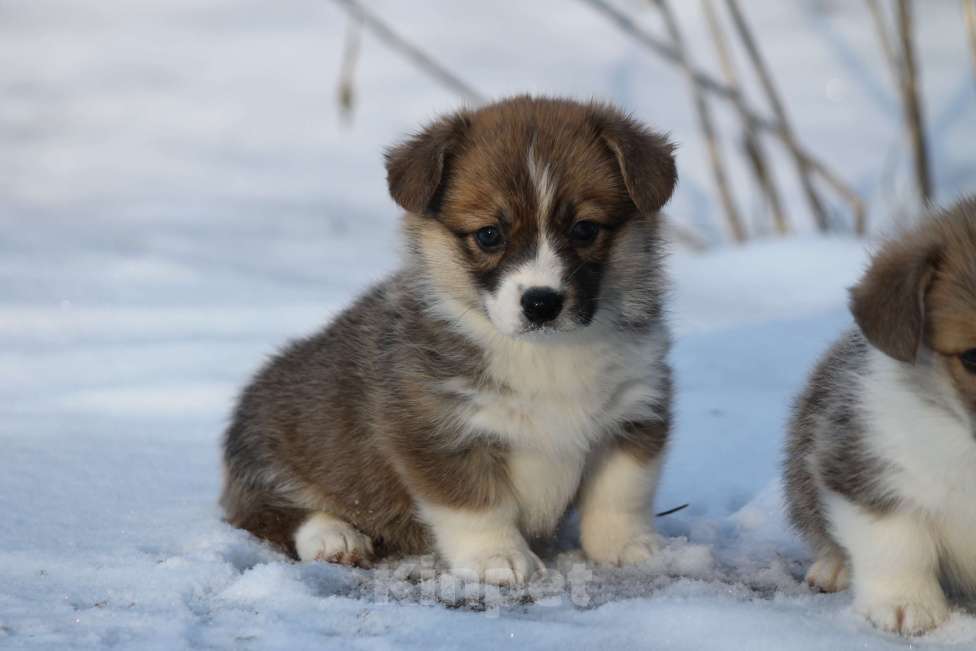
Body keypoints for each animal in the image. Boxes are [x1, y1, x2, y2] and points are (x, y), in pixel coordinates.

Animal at [219, 95, 680, 584]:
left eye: (585, 229)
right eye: (489, 235)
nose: (541, 303)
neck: (544, 353)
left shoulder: (634, 413)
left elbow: (622, 493)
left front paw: (629, 547)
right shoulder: (436, 429)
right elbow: (475, 503)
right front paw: (498, 558)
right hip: (269, 458)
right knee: (267, 514)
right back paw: (334, 537)